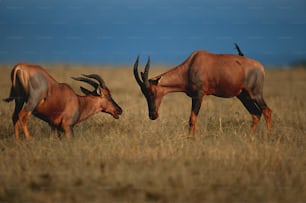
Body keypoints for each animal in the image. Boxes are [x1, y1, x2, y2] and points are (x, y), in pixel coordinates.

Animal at [133, 45, 272, 136]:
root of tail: (261, 67)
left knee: (267, 111)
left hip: (255, 94)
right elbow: (194, 118)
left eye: (152, 92)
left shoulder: (199, 95)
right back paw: (249, 136)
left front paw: (191, 139)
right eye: (144, 94)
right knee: (256, 114)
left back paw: (268, 135)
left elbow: (192, 118)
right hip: (243, 96)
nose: (153, 115)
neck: (191, 65)